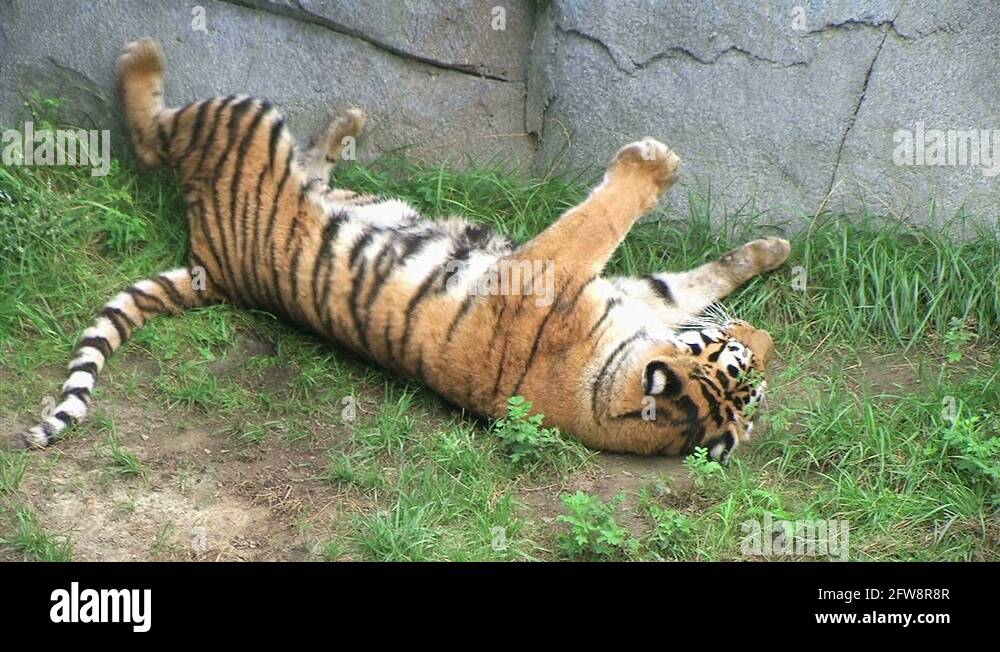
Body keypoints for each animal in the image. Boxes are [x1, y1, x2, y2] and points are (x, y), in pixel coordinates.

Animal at [9, 38, 790, 463]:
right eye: (738, 358)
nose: (771, 338)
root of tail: (212, 267)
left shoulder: (551, 270)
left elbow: (605, 219)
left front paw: (655, 165)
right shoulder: (625, 291)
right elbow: (681, 270)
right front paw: (770, 247)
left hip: (241, 122)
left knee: (154, 138)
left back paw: (146, 56)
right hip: (261, 132)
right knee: (284, 161)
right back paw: (346, 123)